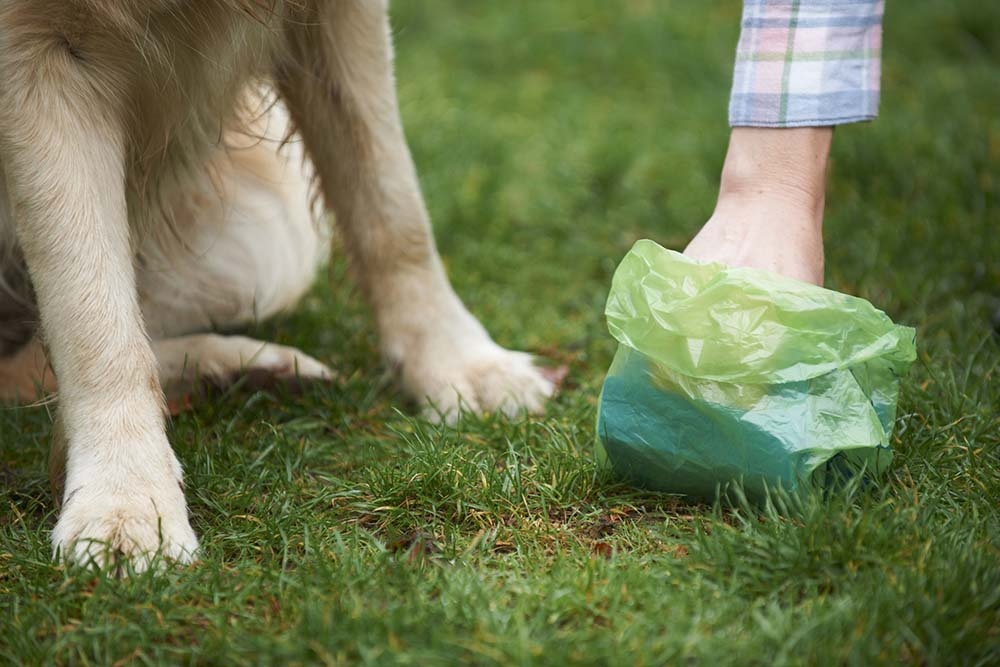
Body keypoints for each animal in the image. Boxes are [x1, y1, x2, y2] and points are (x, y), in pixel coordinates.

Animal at [0, 1, 556, 576]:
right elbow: (92, 318)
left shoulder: (338, 20)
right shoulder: (32, 52)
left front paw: (460, 364)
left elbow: (392, 205)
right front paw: (125, 501)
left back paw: (248, 370)